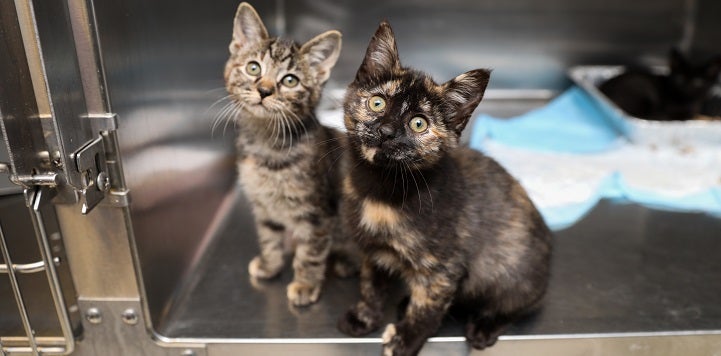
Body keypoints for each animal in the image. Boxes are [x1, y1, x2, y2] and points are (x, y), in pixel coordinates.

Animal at [222, 2, 352, 308]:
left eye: (290, 80)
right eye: (253, 67)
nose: (264, 90)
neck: (266, 145)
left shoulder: (317, 215)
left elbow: (311, 254)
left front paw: (305, 285)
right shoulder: (263, 206)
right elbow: (269, 238)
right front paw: (270, 265)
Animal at [338, 21, 552, 354]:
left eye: (418, 124)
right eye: (377, 102)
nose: (385, 131)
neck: (381, 191)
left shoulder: (443, 268)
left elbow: (428, 307)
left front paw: (404, 340)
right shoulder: (373, 251)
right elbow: (371, 285)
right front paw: (365, 317)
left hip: (514, 272)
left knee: (514, 305)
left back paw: (484, 326)